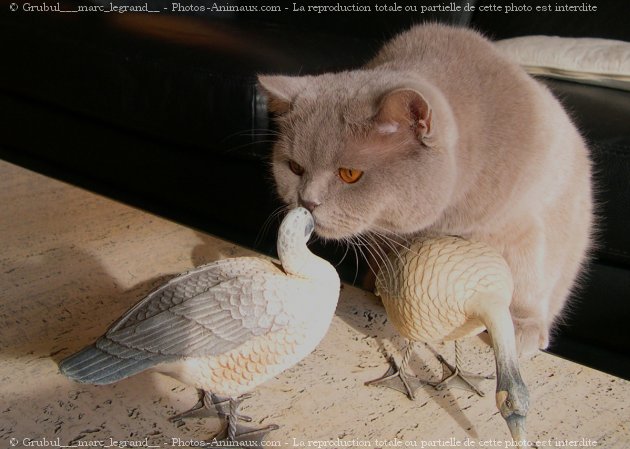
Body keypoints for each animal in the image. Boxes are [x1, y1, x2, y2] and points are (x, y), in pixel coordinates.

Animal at [258, 24, 596, 356]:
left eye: (349, 174)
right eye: (295, 168)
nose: (307, 200)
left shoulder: (524, 221)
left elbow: (529, 275)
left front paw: (523, 327)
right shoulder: (386, 238)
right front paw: (381, 289)